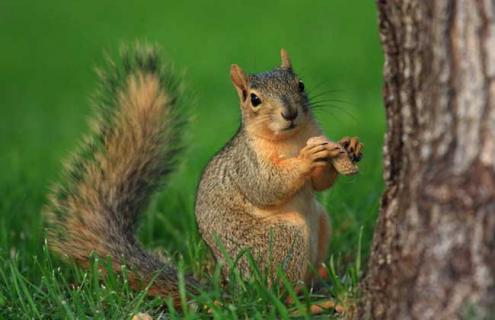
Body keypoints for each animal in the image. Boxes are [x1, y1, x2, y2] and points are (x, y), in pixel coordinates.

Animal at [45, 43, 364, 308]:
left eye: (300, 84)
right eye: (254, 99)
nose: (290, 113)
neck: (292, 139)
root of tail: (237, 292)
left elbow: (320, 183)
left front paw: (350, 146)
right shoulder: (246, 164)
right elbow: (266, 187)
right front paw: (308, 159)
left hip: (321, 223)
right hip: (282, 240)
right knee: (277, 295)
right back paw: (308, 303)